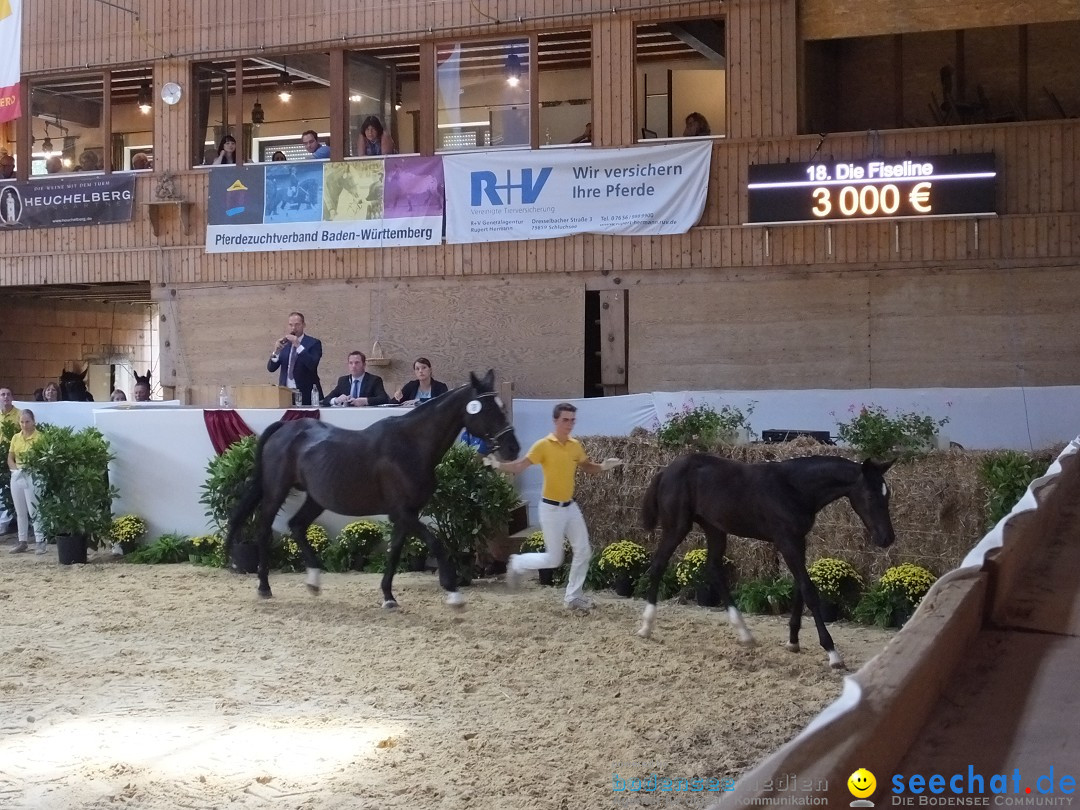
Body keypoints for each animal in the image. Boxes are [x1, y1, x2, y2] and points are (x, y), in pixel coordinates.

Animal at [223, 373, 518, 609]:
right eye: (487, 409)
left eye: (502, 407)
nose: (512, 448)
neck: (411, 446)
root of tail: (285, 427)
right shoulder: (402, 512)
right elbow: (436, 543)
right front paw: (453, 592)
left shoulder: (406, 514)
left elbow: (395, 552)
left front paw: (388, 597)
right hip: (276, 490)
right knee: (264, 530)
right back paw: (264, 587)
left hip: (317, 498)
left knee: (296, 525)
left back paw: (314, 582)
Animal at [639, 453, 894, 669]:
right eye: (869, 495)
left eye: (887, 494)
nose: (887, 538)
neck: (794, 488)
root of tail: (665, 471)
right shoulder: (786, 540)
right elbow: (809, 591)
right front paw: (832, 653)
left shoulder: (798, 540)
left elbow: (799, 588)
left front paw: (793, 641)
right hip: (677, 527)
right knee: (658, 564)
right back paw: (646, 627)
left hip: (714, 528)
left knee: (713, 569)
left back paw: (745, 634)